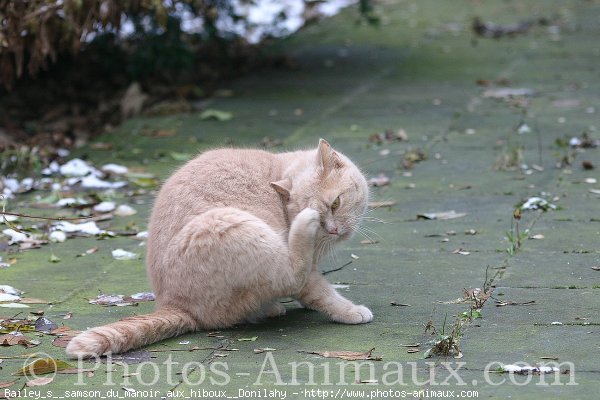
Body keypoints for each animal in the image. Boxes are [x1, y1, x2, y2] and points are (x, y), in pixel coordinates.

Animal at [68, 139, 372, 358]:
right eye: (323, 217)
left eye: (335, 204)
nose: (332, 230)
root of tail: (172, 304)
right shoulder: (308, 272)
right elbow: (320, 292)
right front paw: (350, 311)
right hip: (232, 224)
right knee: (290, 275)